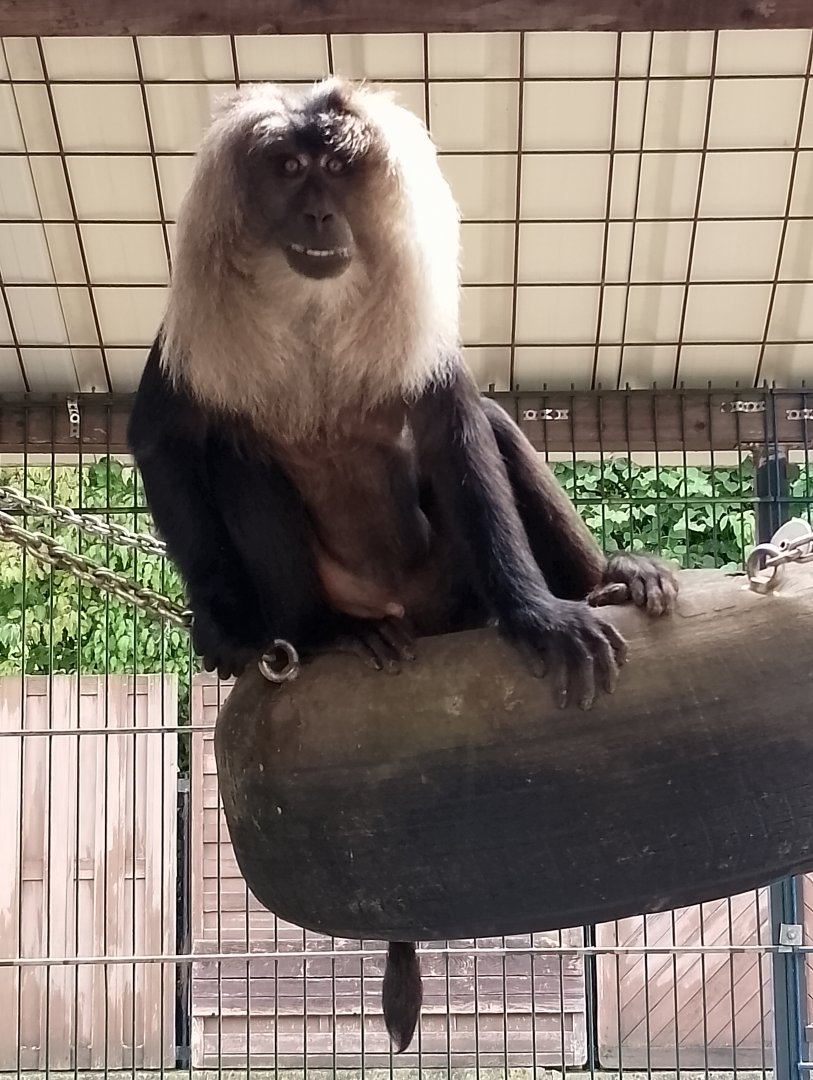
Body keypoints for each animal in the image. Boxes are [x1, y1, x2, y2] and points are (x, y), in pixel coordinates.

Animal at [127, 78, 678, 1054]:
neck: (310, 310)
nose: (317, 212)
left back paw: (608, 584)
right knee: (235, 453)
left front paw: (541, 616)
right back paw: (329, 635)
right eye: (288, 168)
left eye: (339, 172)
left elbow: (455, 426)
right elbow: (164, 437)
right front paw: (223, 626)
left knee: (491, 427)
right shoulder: (192, 331)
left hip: (450, 583)